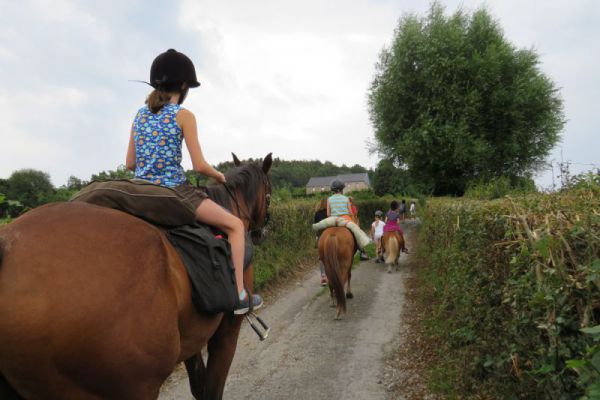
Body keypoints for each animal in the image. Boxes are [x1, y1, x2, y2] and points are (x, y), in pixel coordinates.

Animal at [0, 153, 270, 400]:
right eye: (268, 193)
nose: (261, 233)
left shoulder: (192, 336)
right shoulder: (227, 330)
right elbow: (212, 389)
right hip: (133, 384)